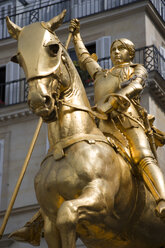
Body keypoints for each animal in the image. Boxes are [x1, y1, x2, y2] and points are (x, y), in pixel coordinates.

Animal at [6, 10, 165, 248]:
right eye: (18, 57)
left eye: (53, 48)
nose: (39, 101)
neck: (65, 145)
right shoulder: (50, 220)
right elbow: (86, 58)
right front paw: (75, 29)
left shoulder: (100, 197)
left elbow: (67, 213)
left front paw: (107, 105)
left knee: (146, 159)